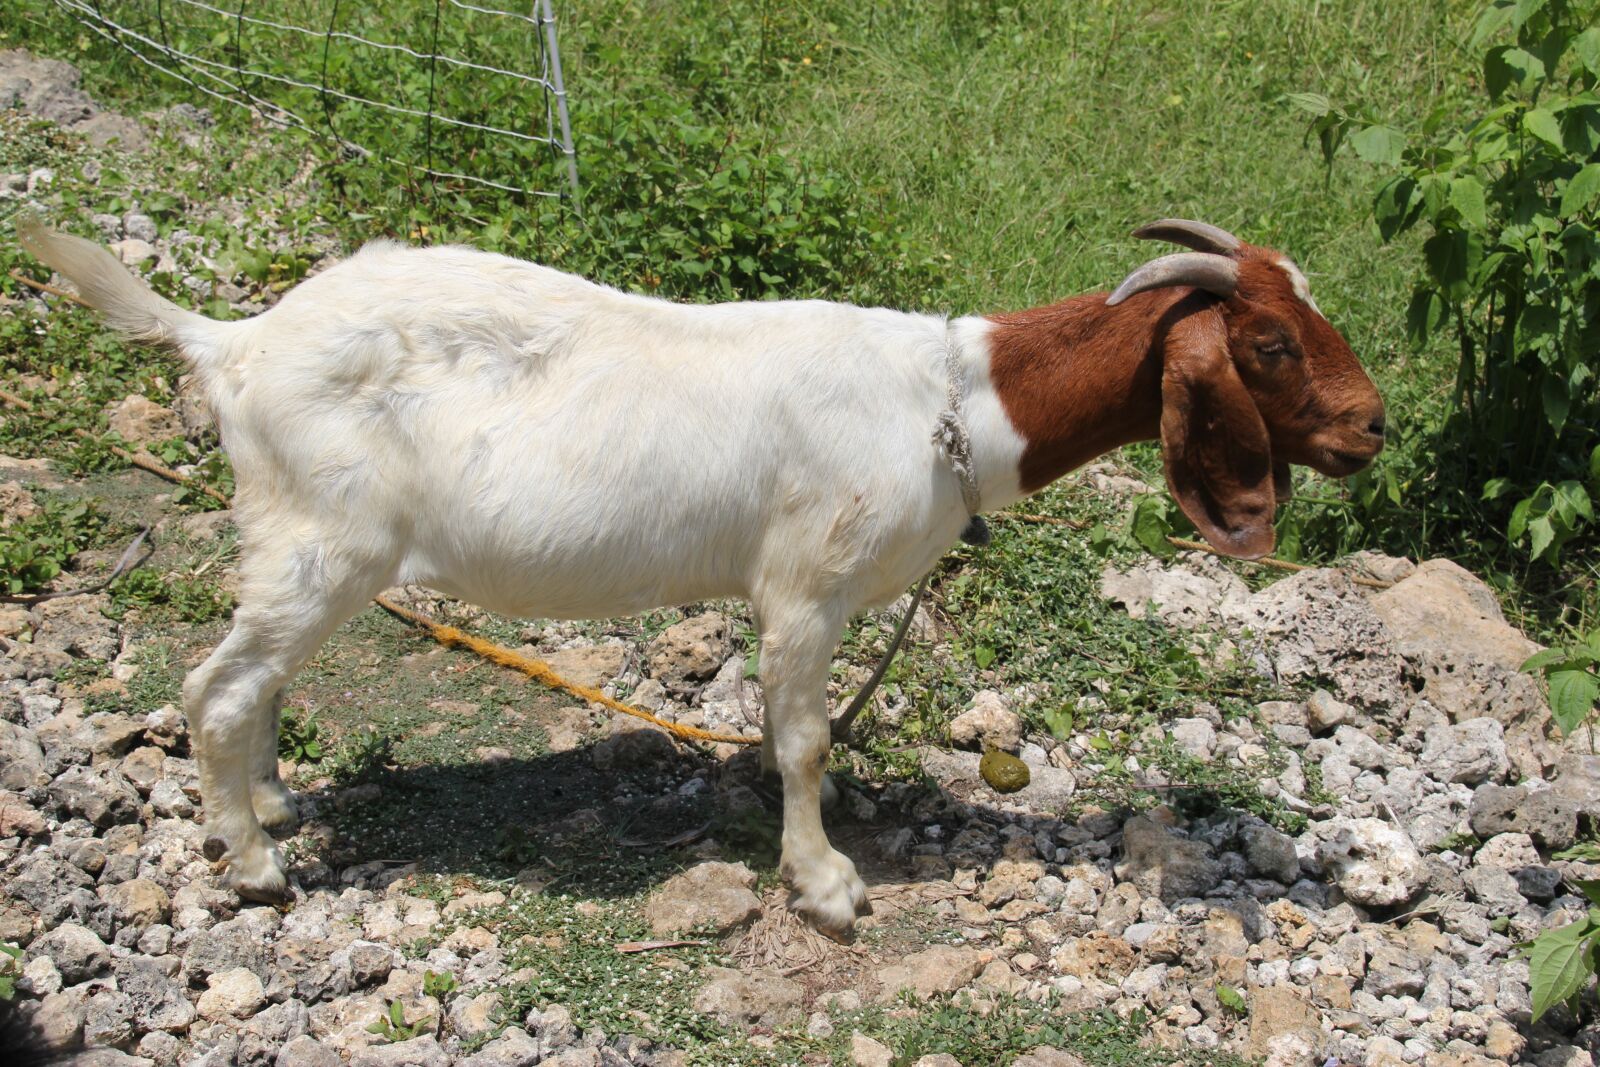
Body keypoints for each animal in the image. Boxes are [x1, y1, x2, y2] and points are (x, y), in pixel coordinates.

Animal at [18, 217, 1384, 936]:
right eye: (1269, 342)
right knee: (215, 687)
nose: (1373, 426)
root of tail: (231, 341)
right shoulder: (802, 586)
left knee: (250, 687)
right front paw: (825, 882)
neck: (948, 403)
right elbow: (802, 740)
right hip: (324, 543)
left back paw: (268, 807)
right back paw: (251, 861)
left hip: (299, 548)